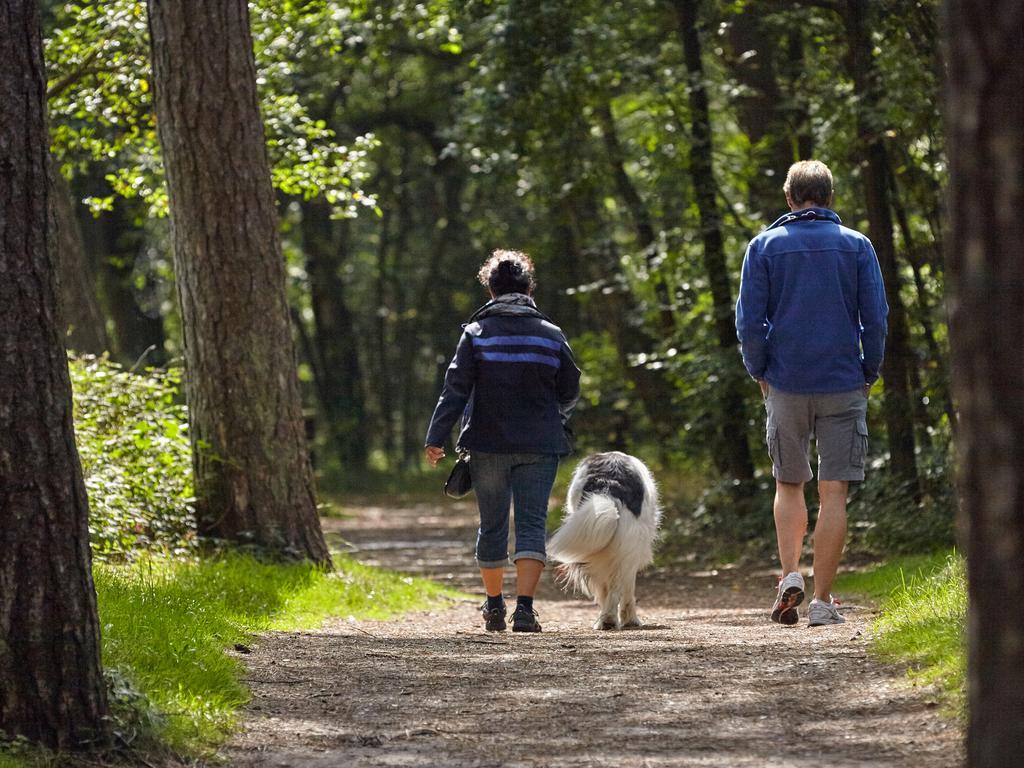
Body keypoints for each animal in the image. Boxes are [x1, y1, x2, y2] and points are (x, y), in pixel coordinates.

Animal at [548, 454, 659, 626]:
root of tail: (608, 483)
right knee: (616, 585)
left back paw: (607, 619)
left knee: (611, 585)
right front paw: (630, 619)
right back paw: (610, 619)